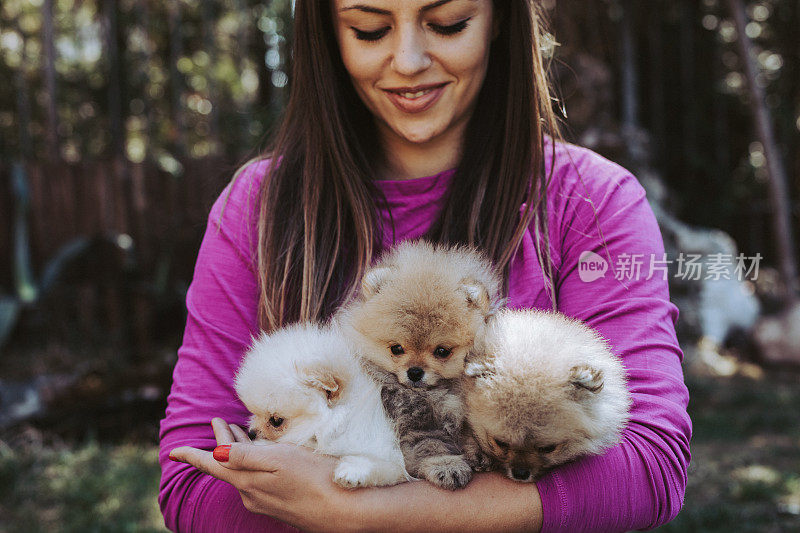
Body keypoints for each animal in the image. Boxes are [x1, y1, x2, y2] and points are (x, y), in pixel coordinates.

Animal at [230, 322, 406, 488]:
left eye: (276, 421)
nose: (251, 433)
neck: (344, 418)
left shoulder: (389, 450)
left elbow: (382, 463)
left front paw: (351, 472)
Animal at [340, 241, 504, 490]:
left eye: (442, 351)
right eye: (397, 349)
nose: (415, 372)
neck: (437, 394)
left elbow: (470, 432)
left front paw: (480, 452)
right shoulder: (413, 424)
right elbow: (431, 446)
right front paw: (447, 466)